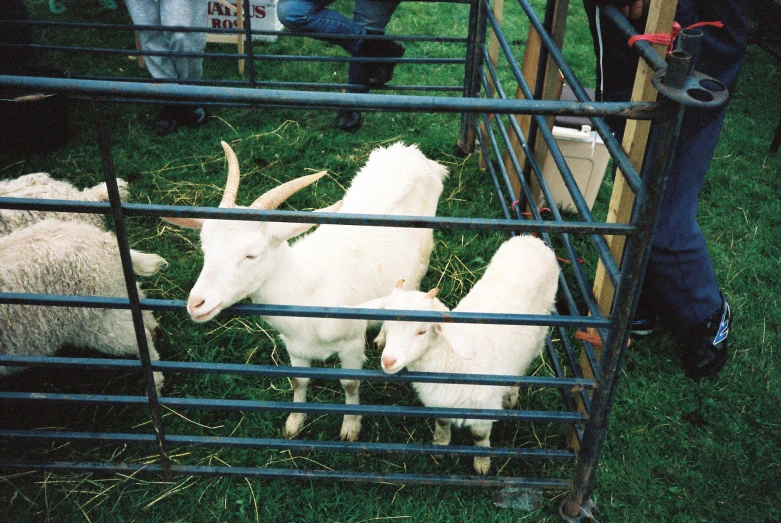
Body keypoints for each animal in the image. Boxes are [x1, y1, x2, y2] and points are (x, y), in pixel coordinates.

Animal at [166, 141, 444, 440]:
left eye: (252, 254)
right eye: (204, 246)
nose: (196, 303)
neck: (307, 290)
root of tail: (413, 153)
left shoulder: (351, 342)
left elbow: (350, 384)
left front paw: (350, 427)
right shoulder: (294, 346)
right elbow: (298, 381)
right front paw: (294, 423)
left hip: (422, 257)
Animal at [356, 236, 556, 474]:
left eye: (422, 331)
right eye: (386, 324)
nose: (388, 361)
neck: (450, 360)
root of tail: (532, 240)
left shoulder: (484, 407)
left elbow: (479, 435)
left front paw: (482, 463)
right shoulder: (439, 402)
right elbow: (442, 425)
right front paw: (440, 447)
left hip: (538, 338)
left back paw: (511, 395)